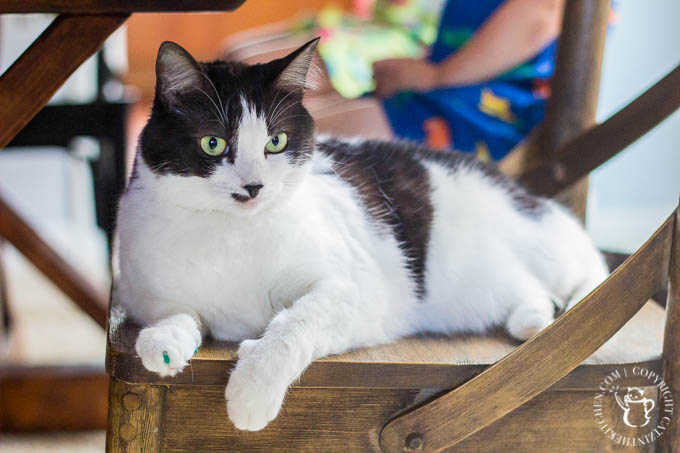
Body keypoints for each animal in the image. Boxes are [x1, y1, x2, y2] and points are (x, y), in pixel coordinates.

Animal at [114, 38, 608, 430]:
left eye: (276, 141)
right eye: (213, 143)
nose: (253, 186)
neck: (232, 233)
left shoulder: (360, 291)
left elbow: (295, 323)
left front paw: (252, 393)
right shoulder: (147, 293)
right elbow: (180, 313)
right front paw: (163, 342)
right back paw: (533, 321)